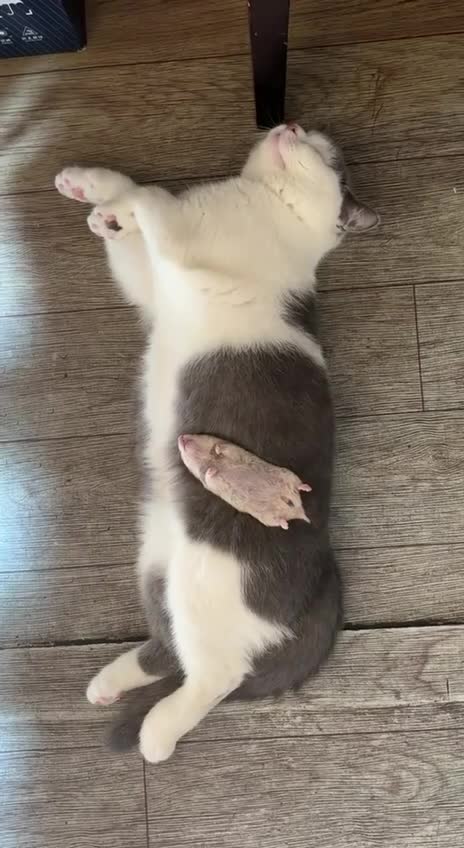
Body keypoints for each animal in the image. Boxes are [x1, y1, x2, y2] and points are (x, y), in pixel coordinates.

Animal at [55, 123, 378, 763]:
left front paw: (117, 208)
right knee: (169, 647)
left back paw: (156, 735)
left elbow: (156, 197)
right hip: (158, 564)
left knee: (216, 675)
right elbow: (134, 232)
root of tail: (325, 576)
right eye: (313, 137)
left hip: (207, 582)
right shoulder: (153, 284)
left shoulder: (183, 242)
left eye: (330, 158)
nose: (292, 126)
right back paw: (108, 684)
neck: (261, 201)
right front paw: (94, 194)